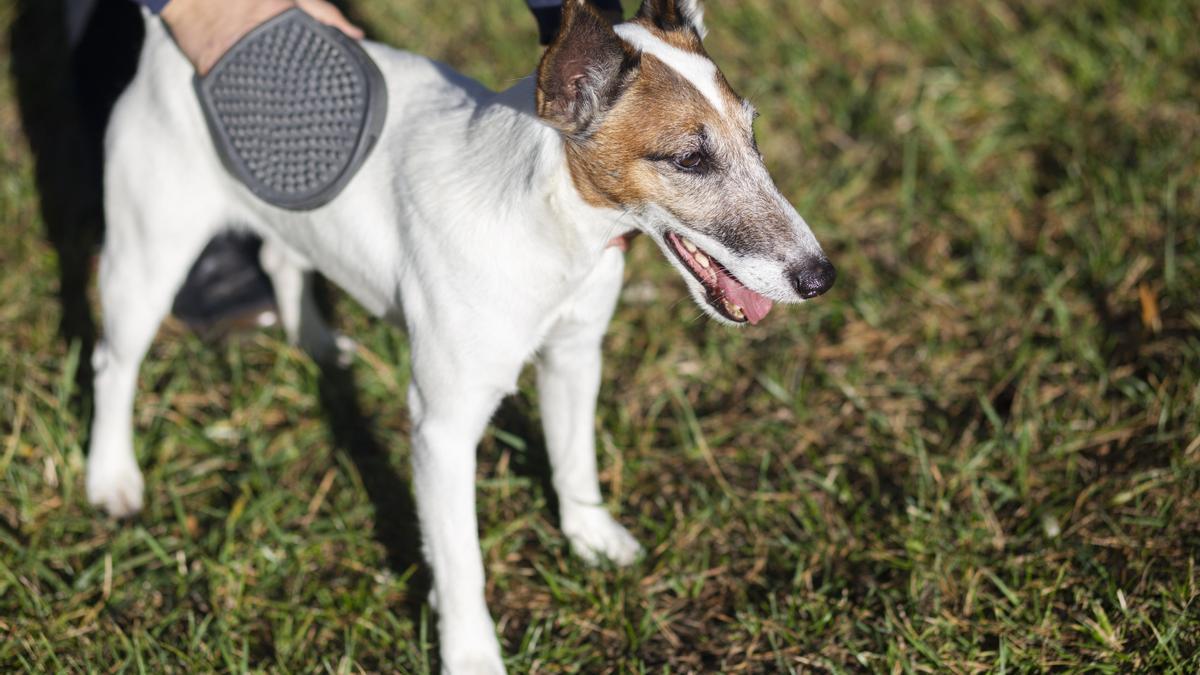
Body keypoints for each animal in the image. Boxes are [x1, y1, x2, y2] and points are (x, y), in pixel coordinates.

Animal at [88, 0, 835, 667]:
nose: (821, 277)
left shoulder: (573, 357)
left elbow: (574, 461)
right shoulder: (442, 428)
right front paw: (472, 653)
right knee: (110, 362)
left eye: (754, 135)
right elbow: (461, 564)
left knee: (280, 254)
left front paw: (590, 538)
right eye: (689, 160)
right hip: (147, 261)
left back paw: (320, 345)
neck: (547, 218)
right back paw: (111, 476)